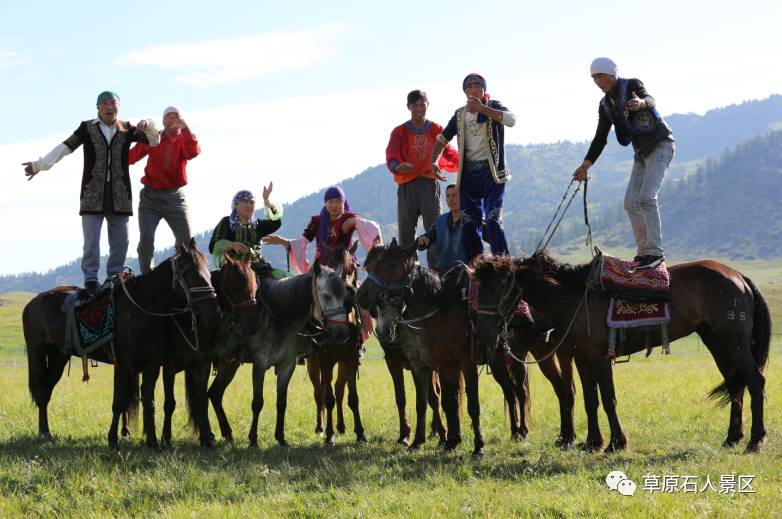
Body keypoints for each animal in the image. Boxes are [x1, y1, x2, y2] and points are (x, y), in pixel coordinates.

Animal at [508, 254, 772, 452]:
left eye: (500, 282)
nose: (516, 326)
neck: (575, 298)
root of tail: (739, 277)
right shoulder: (582, 359)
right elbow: (590, 399)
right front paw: (593, 443)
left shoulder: (601, 359)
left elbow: (608, 399)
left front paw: (616, 443)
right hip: (716, 341)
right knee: (735, 384)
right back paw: (732, 438)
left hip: (735, 342)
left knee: (755, 381)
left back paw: (755, 441)